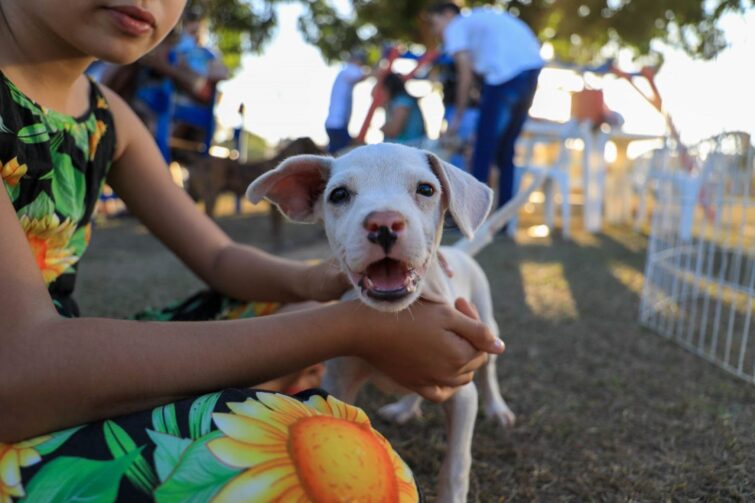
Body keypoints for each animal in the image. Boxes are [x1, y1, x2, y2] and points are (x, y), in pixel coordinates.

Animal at [247, 144, 512, 502]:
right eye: (339, 194)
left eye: (426, 189)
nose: (383, 223)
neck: (401, 315)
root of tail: (460, 252)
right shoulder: (339, 381)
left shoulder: (463, 393)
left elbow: (456, 467)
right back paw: (404, 409)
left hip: (487, 323)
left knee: (489, 372)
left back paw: (497, 409)